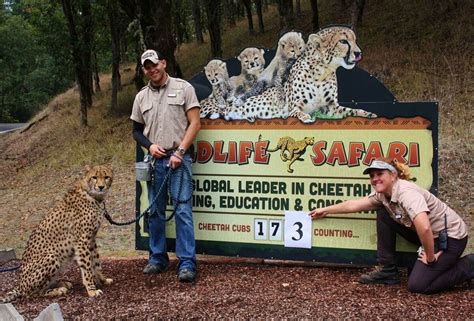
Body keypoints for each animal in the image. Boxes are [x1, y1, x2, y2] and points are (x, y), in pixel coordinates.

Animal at [1, 164, 113, 302]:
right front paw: (91, 290)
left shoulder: (91, 239)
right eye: (94, 177)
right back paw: (58, 290)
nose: (101, 187)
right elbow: (87, 267)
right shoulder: (82, 241)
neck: (92, 195)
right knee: (32, 294)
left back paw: (62, 283)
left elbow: (96, 262)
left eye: (106, 177)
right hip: (51, 256)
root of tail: (19, 284)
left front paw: (103, 280)